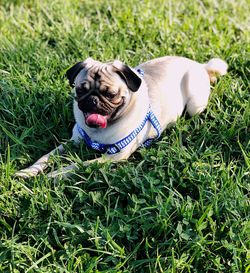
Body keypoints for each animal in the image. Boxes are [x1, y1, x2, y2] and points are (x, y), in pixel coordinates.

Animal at [15, 56, 227, 177]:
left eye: (110, 95)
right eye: (80, 90)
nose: (92, 99)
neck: (97, 132)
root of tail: (200, 65)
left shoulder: (114, 156)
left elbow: (77, 165)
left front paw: (54, 175)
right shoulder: (72, 142)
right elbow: (45, 157)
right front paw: (28, 172)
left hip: (194, 106)